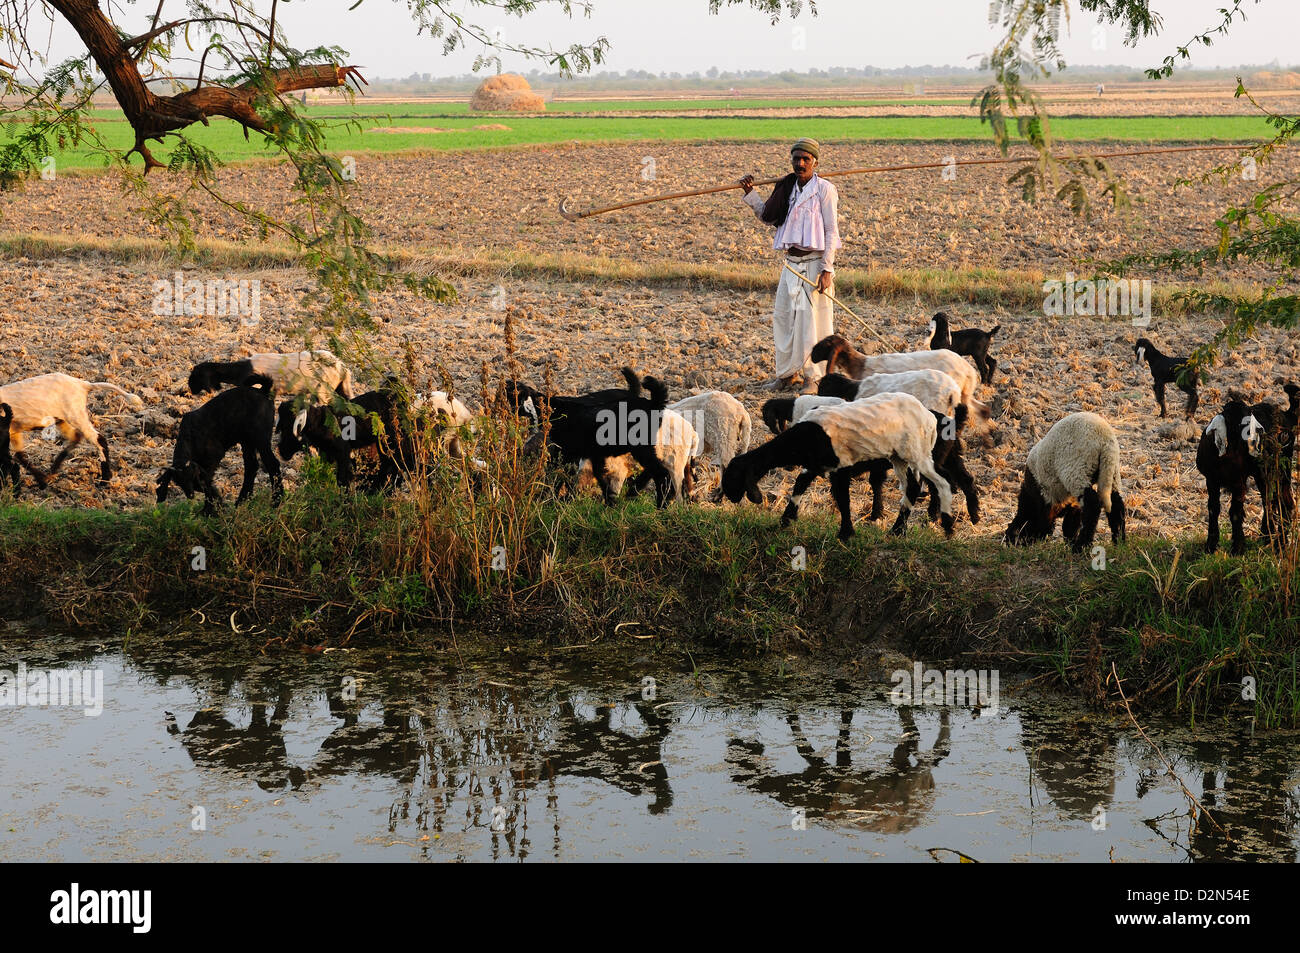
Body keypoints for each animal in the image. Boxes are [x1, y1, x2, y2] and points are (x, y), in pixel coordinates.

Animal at [0, 371, 143, 486]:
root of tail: (83, 384)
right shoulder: (14, 430)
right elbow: (19, 456)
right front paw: (41, 481)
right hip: (63, 419)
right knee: (76, 437)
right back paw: (53, 471)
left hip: (76, 414)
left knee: (98, 439)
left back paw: (104, 480)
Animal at [157, 374, 284, 517]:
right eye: (179, 482)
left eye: (191, 478)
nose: (191, 495)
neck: (190, 437)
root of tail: (264, 391)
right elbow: (207, 482)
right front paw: (213, 506)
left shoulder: (214, 456)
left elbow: (207, 481)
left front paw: (209, 509)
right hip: (246, 440)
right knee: (251, 466)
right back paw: (242, 501)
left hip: (260, 436)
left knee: (272, 464)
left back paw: (276, 501)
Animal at [998, 408, 1123, 551]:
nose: (1021, 545)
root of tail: (1105, 438)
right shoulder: (1071, 503)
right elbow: (1069, 526)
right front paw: (1069, 542)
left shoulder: (1046, 499)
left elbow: (1049, 524)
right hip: (1110, 469)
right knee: (1116, 503)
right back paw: (1119, 542)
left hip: (1077, 470)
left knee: (1092, 505)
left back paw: (1081, 547)